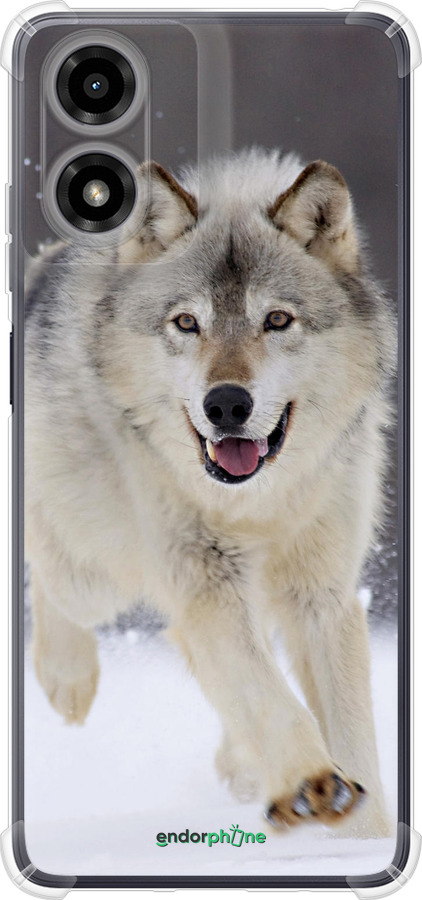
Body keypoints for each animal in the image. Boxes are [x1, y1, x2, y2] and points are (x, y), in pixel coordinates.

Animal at [25, 148, 395, 837]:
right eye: (186, 323)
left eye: (276, 320)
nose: (225, 404)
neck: (257, 504)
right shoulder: (205, 580)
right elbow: (268, 694)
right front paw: (311, 783)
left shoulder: (321, 594)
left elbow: (351, 734)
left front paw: (367, 837)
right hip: (97, 575)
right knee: (52, 578)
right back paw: (68, 678)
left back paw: (244, 766)